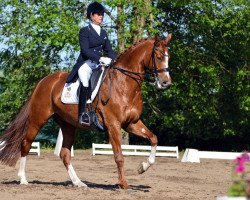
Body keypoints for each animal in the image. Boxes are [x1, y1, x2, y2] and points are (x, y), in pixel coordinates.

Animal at [0, 34, 172, 189]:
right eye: (158, 57)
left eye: (168, 57)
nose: (166, 83)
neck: (124, 84)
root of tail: (43, 81)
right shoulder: (113, 125)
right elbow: (119, 156)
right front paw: (123, 184)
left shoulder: (132, 123)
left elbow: (154, 138)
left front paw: (142, 167)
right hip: (38, 119)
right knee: (26, 144)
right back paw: (23, 179)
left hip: (68, 124)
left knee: (64, 154)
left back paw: (78, 182)